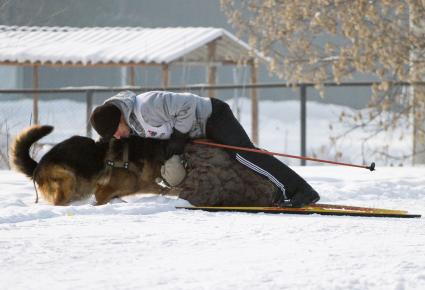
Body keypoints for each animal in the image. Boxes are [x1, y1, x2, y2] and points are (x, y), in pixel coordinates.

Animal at [10, 124, 278, 206]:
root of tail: (38, 164)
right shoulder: (114, 187)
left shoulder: (143, 183)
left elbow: (163, 188)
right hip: (69, 177)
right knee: (60, 198)